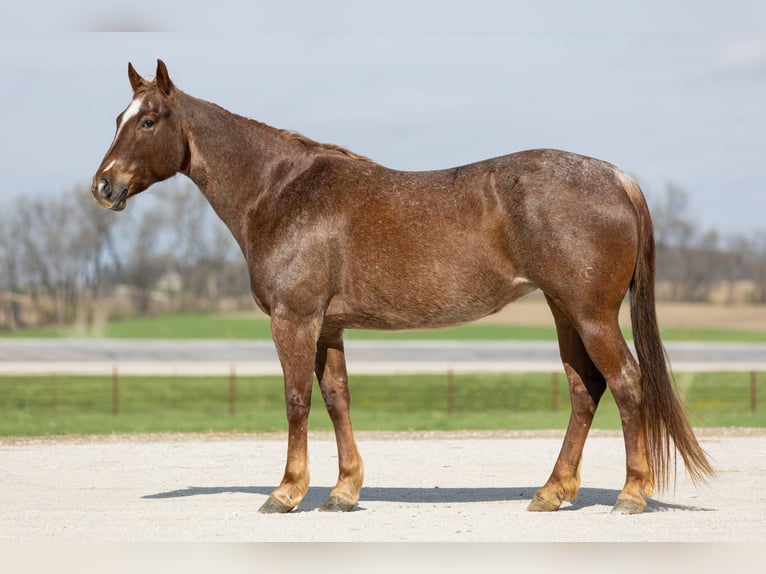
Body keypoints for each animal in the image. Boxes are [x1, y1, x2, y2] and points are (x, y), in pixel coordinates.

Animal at [91, 60, 713, 515]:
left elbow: (296, 400)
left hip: (592, 314)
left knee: (626, 383)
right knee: (585, 390)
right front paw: (344, 491)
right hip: (565, 312)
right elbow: (336, 398)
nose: (103, 186)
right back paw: (551, 492)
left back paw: (631, 494)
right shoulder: (328, 327)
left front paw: (286, 492)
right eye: (117, 116)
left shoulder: (294, 319)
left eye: (149, 121)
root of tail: (616, 177)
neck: (281, 192)